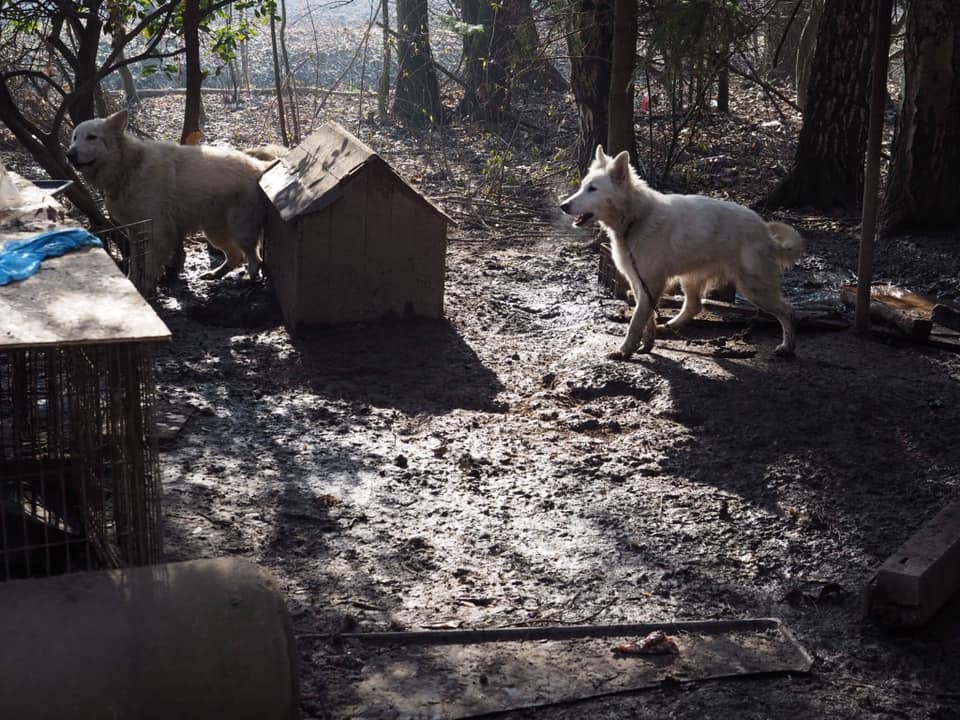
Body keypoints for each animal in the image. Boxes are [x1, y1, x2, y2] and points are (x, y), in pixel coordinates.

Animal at [560, 147, 808, 360]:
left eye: (593, 189)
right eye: (582, 186)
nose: (563, 206)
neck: (636, 218)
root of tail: (764, 231)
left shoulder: (651, 283)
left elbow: (636, 321)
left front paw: (625, 350)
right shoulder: (640, 283)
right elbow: (647, 318)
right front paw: (647, 344)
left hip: (754, 288)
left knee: (789, 312)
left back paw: (787, 347)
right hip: (691, 279)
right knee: (694, 306)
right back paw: (669, 326)